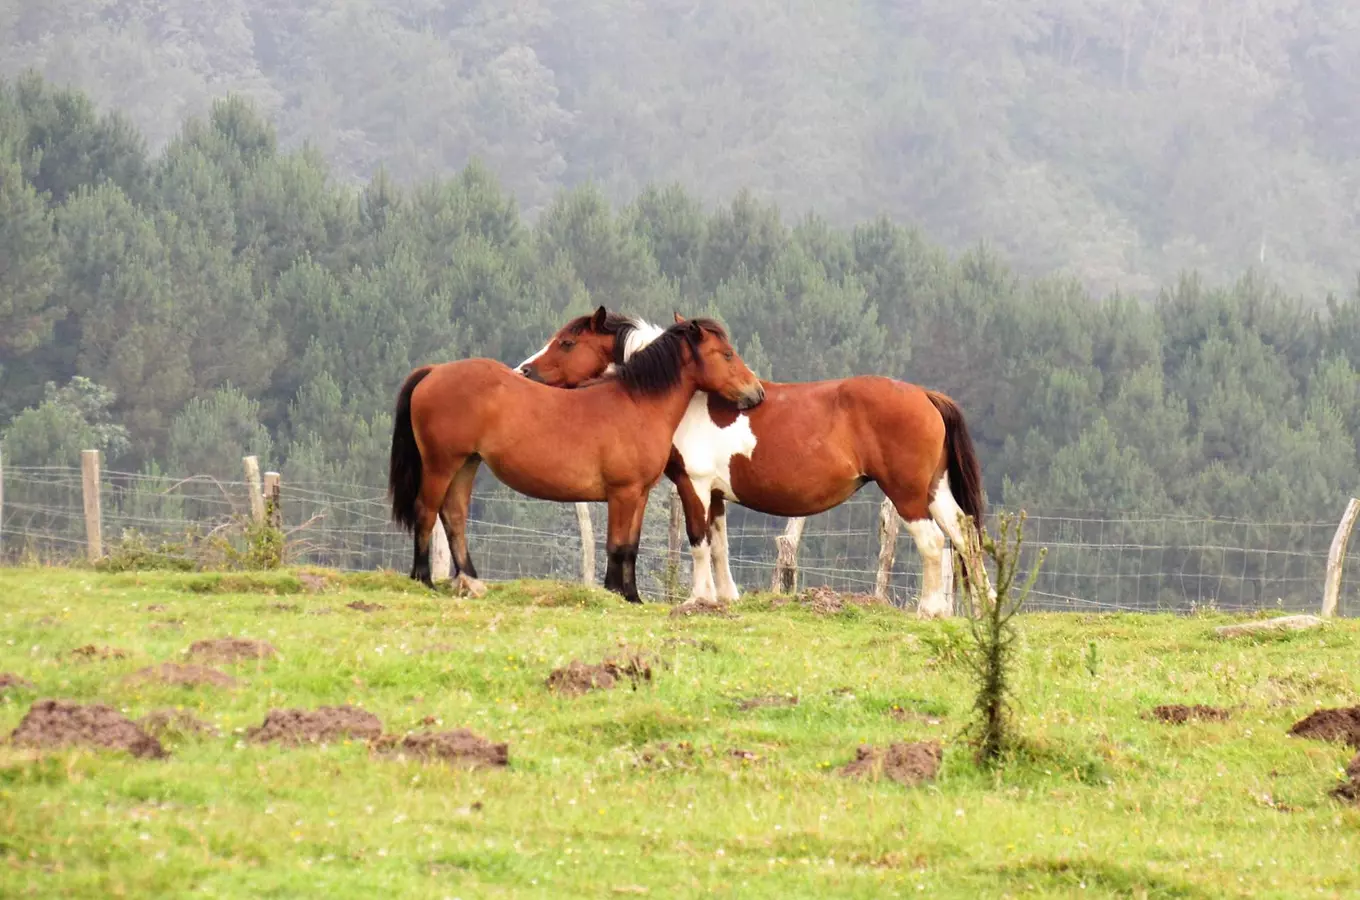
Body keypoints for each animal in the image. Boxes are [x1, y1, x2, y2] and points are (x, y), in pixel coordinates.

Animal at [388, 316, 767, 606]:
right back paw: (423, 579)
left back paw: (471, 580)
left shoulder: (639, 494)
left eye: (567, 343)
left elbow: (631, 545)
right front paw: (616, 592)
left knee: (454, 516)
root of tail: (433, 371)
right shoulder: (622, 493)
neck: (637, 403)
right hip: (441, 464)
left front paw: (632, 596)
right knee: (426, 511)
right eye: (727, 354)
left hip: (466, 464)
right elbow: (616, 545)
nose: (756, 392)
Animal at [519, 307, 990, 617]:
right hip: (934, 490)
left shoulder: (693, 485)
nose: (523, 371)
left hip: (907, 494)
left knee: (932, 543)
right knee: (964, 537)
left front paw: (698, 599)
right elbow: (720, 543)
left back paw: (929, 610)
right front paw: (725, 597)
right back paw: (983, 605)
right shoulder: (715, 494)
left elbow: (698, 542)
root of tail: (925, 394)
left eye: (566, 342)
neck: (684, 399)